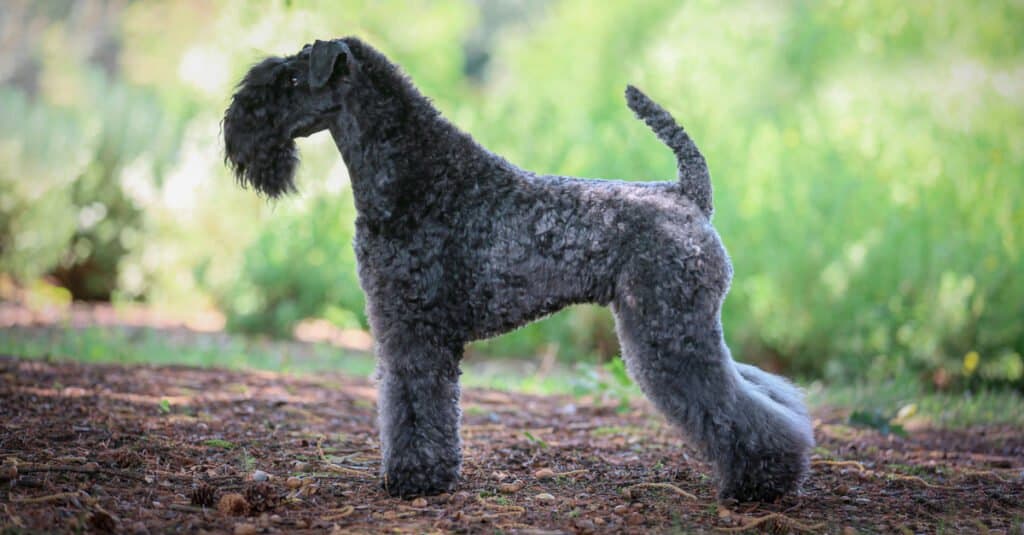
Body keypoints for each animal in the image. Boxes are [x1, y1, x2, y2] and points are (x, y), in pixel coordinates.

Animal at [224, 37, 815, 500]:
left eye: (291, 77)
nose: (234, 125)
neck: (419, 176)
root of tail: (688, 196)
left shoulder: (412, 329)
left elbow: (414, 405)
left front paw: (415, 479)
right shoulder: (410, 330)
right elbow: (417, 407)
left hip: (671, 331)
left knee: (734, 403)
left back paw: (763, 481)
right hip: (681, 327)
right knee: (763, 389)